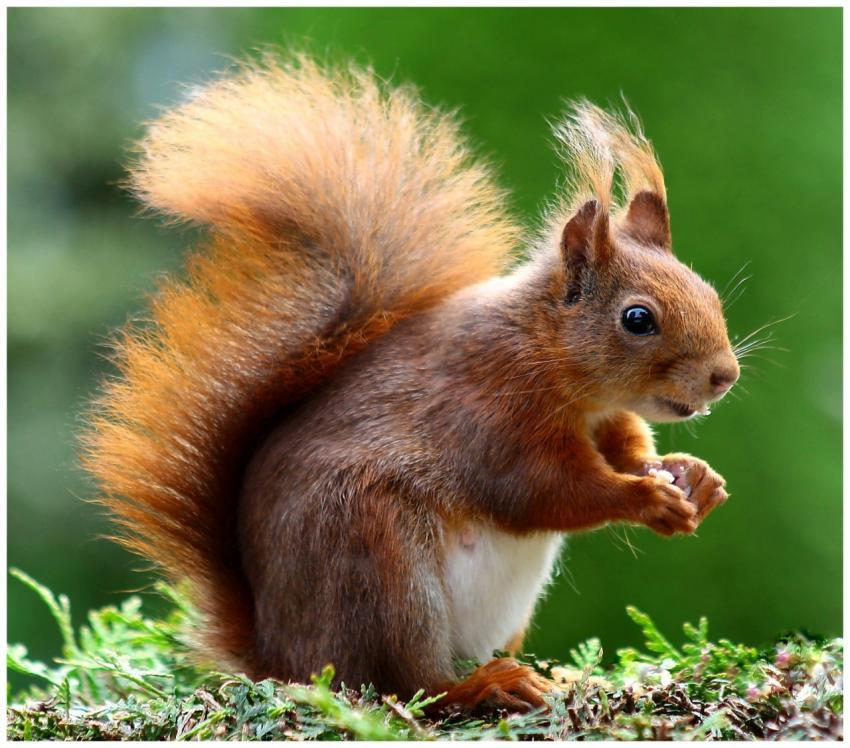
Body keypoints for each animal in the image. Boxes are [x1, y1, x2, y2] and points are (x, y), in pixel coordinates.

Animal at [83, 54, 740, 713]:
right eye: (638, 319)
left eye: (708, 293)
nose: (725, 376)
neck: (554, 362)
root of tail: (280, 655)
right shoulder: (490, 412)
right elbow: (544, 491)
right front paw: (646, 498)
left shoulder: (606, 418)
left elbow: (627, 450)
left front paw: (693, 477)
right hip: (380, 565)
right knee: (405, 683)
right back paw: (484, 685)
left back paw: (556, 677)